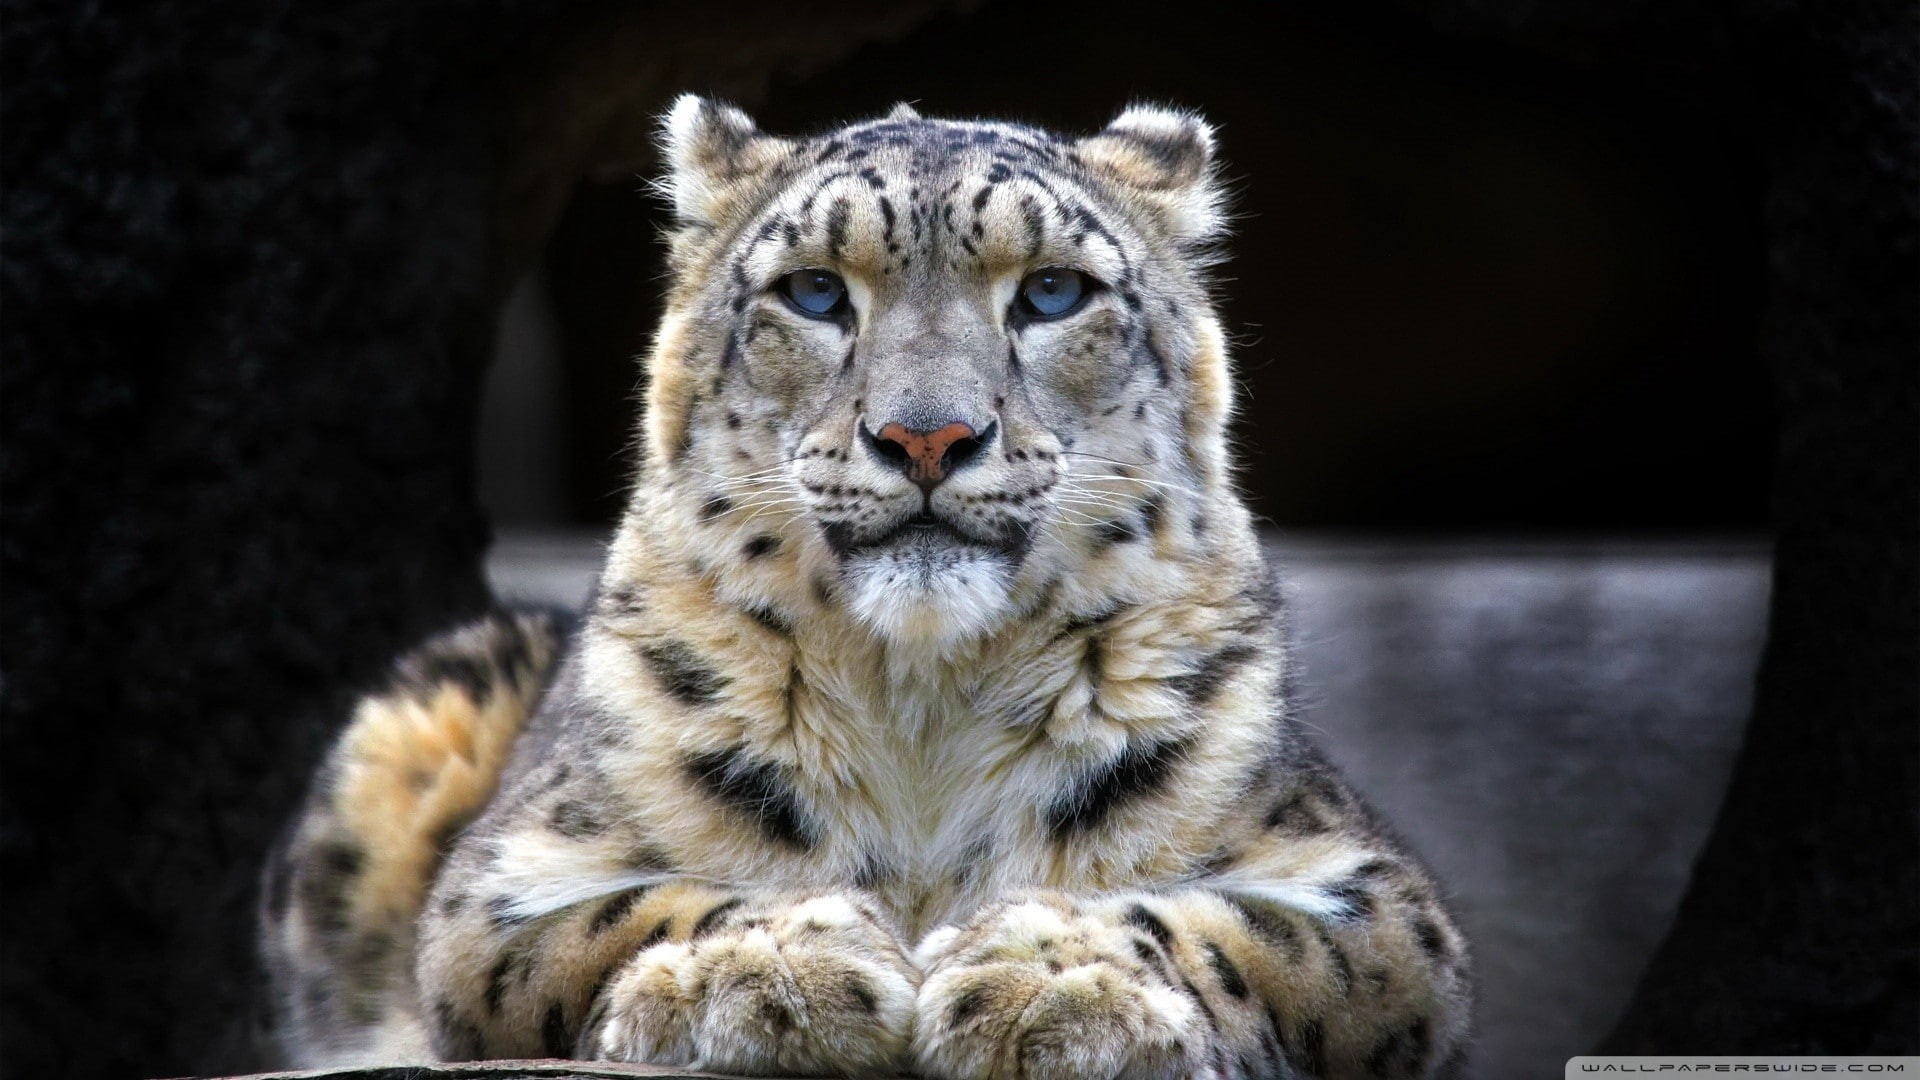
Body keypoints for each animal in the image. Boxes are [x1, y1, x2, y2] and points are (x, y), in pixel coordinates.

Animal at [258, 95, 1472, 1078]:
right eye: (812, 292)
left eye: (1052, 292)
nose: (926, 436)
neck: (923, 707)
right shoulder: (507, 877)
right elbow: (627, 910)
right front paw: (773, 964)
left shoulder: (1371, 890)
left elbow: (1242, 926)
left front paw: (1049, 974)